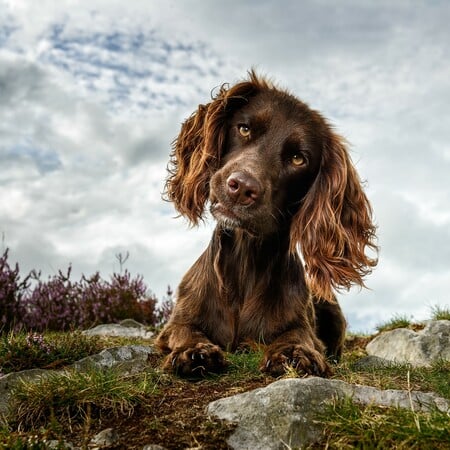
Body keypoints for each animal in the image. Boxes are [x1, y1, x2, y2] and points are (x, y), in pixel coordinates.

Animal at [156, 73, 376, 376]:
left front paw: (294, 353)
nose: (241, 187)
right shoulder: (175, 322)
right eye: (244, 129)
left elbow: (298, 335)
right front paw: (195, 351)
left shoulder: (302, 324)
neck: (245, 260)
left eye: (298, 158)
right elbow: (184, 331)